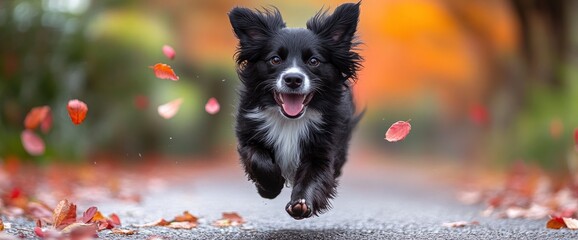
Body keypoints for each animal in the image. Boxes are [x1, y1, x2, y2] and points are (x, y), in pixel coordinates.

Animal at [228, 2, 360, 219]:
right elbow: (257, 158)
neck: (290, 120)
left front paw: (301, 204)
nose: (293, 79)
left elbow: (314, 176)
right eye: (275, 59)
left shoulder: (322, 149)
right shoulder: (249, 134)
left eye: (314, 61)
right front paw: (271, 187)